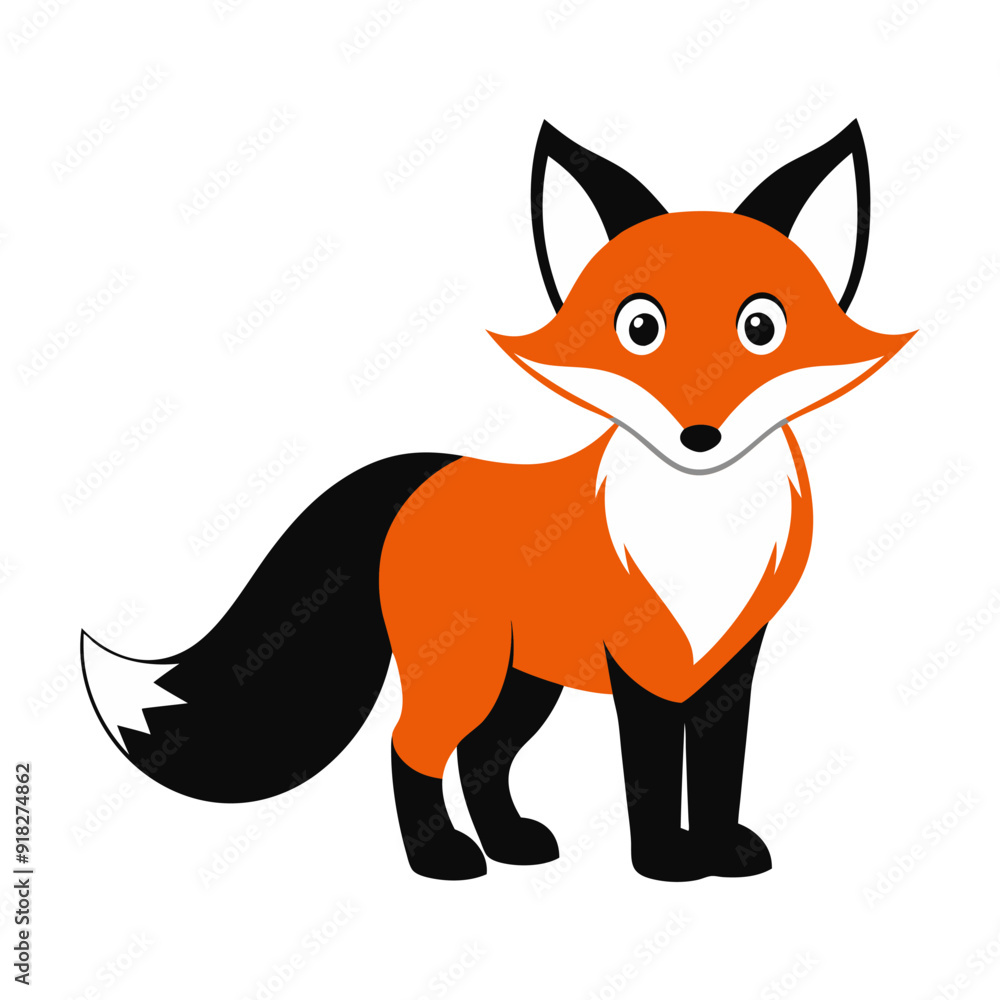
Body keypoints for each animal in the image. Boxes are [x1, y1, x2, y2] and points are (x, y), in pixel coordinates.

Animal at [82, 120, 914, 881]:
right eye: (640, 328)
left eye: (761, 327)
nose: (699, 435)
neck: (700, 526)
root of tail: (423, 471)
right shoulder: (639, 660)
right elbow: (650, 772)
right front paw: (665, 862)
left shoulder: (732, 655)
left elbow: (717, 770)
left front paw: (720, 852)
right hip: (467, 671)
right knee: (411, 747)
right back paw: (441, 857)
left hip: (522, 682)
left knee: (484, 754)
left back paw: (511, 844)